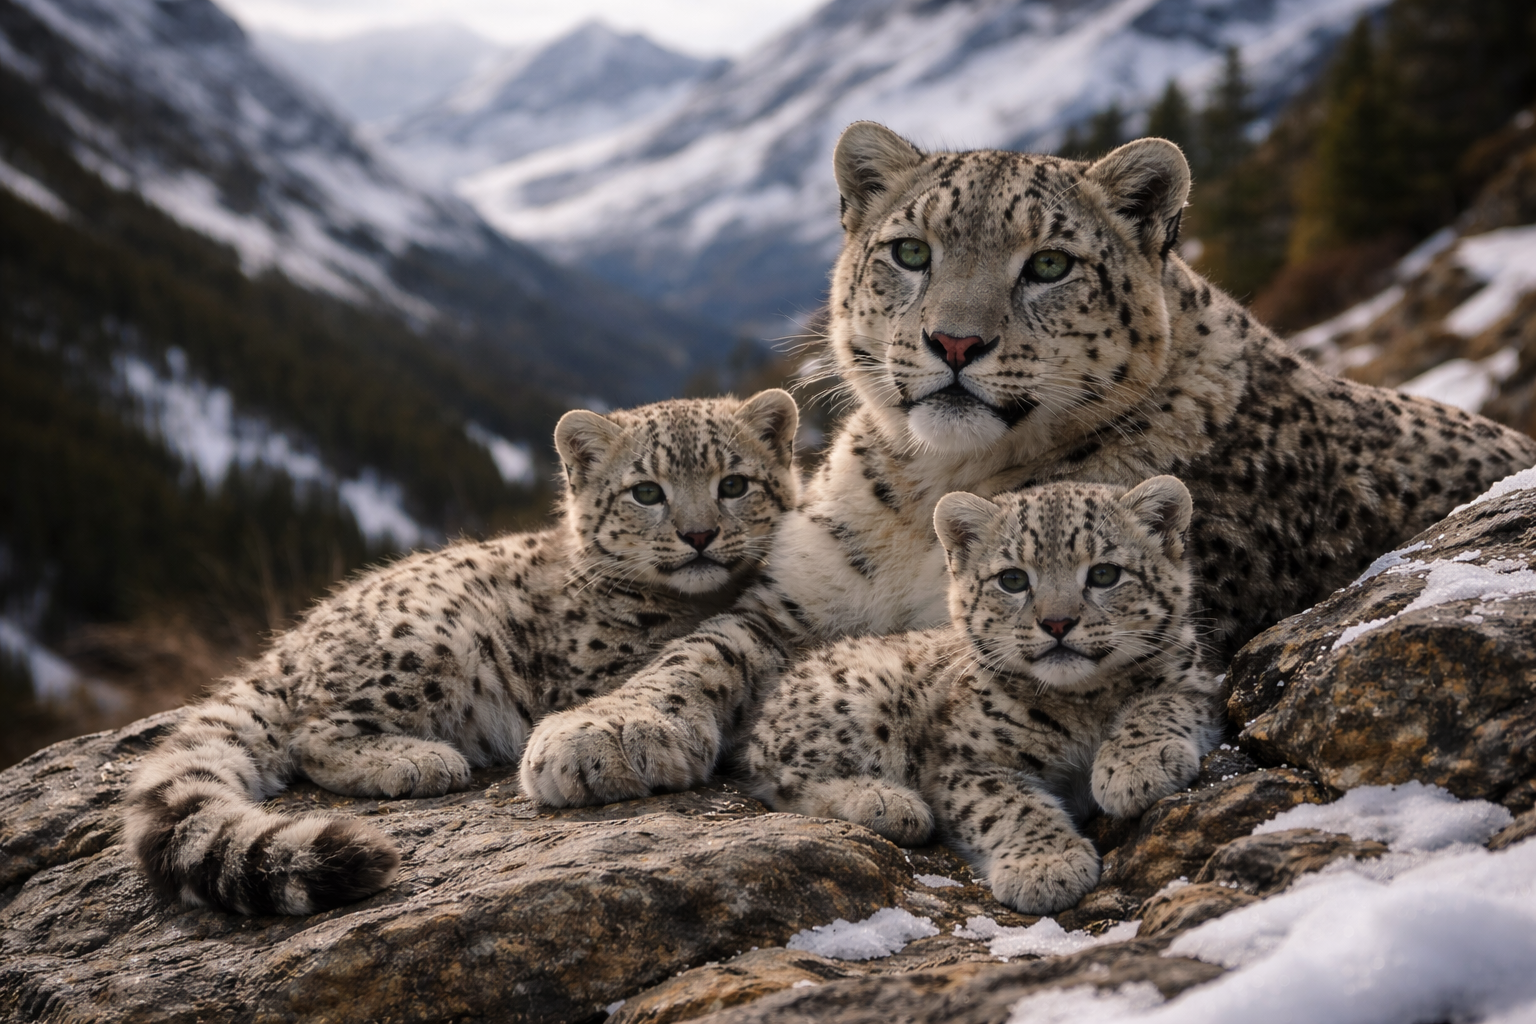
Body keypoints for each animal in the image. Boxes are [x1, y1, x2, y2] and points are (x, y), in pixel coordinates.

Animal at [123, 389, 799, 916]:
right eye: (646, 492)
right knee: (312, 737)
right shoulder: (597, 673)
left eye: (733, 484)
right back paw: (422, 761)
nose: (699, 534)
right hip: (433, 646)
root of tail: (288, 644)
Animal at [518, 121, 1536, 810]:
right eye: (910, 251)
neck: (931, 489)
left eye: (1048, 263)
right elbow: (700, 646)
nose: (954, 341)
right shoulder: (798, 597)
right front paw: (604, 732)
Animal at [743, 476, 1220, 914]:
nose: (1058, 622)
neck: (1081, 701)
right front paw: (1046, 867)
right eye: (1012, 579)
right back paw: (889, 804)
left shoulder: (1191, 681)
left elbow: (1160, 704)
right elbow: (1009, 806)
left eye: (1105, 573)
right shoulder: (968, 765)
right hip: (862, 701)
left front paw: (1137, 768)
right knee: (786, 784)